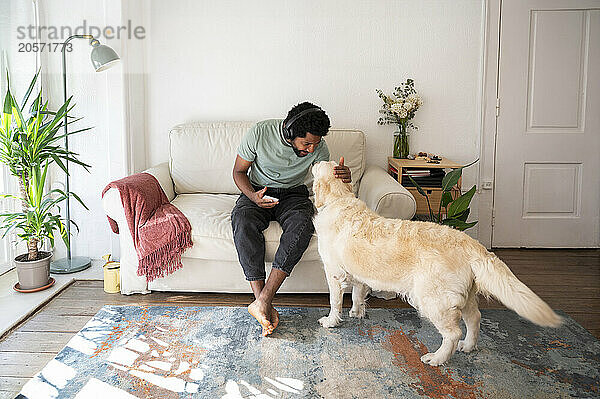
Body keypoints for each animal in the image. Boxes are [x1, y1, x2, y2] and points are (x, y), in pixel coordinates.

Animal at [312, 161, 560, 368]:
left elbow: (335, 301)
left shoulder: (333, 273)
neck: (339, 200)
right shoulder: (359, 274)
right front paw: (356, 312)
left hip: (434, 298)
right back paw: (468, 346)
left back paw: (437, 358)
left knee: (453, 333)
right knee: (475, 318)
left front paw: (331, 321)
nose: (314, 161)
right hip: (464, 295)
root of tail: (469, 243)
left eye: (322, 164)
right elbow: (357, 293)